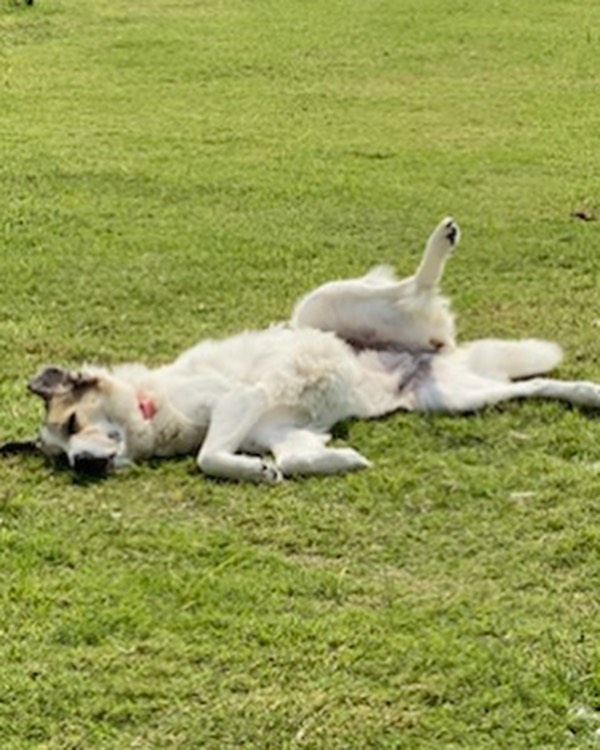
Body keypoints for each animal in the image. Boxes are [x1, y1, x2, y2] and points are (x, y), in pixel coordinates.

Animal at [24, 217, 600, 484]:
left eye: (73, 423)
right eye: (60, 455)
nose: (83, 466)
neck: (155, 409)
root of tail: (422, 354)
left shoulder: (240, 397)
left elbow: (209, 457)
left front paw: (252, 470)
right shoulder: (278, 430)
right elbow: (296, 456)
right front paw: (337, 459)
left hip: (318, 305)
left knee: (407, 284)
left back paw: (442, 242)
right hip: (458, 400)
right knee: (536, 385)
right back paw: (588, 392)